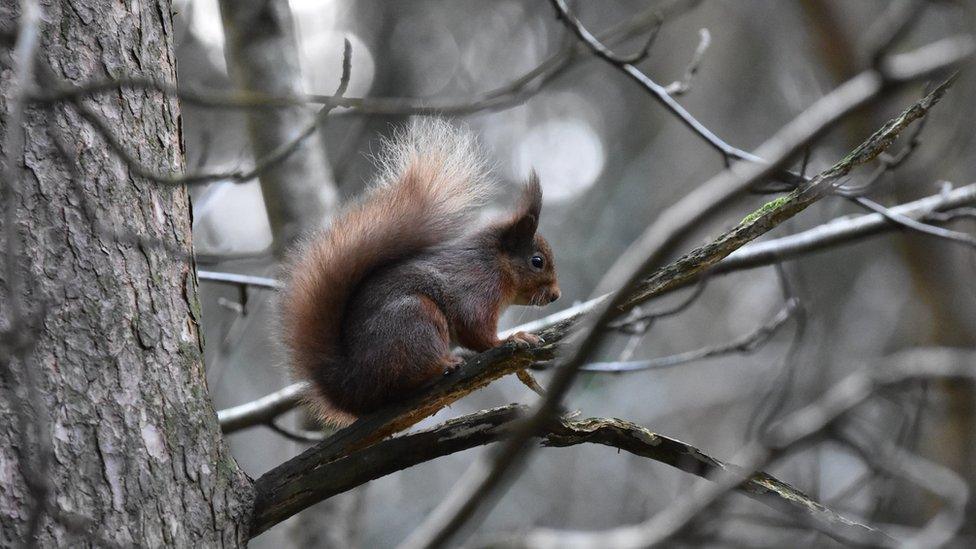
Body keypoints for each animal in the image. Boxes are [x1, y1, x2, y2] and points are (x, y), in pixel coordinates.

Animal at [278, 120, 560, 426]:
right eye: (537, 261)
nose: (556, 295)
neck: (497, 263)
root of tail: (352, 387)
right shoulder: (478, 286)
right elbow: (476, 329)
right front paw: (512, 339)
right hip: (416, 320)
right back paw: (443, 365)